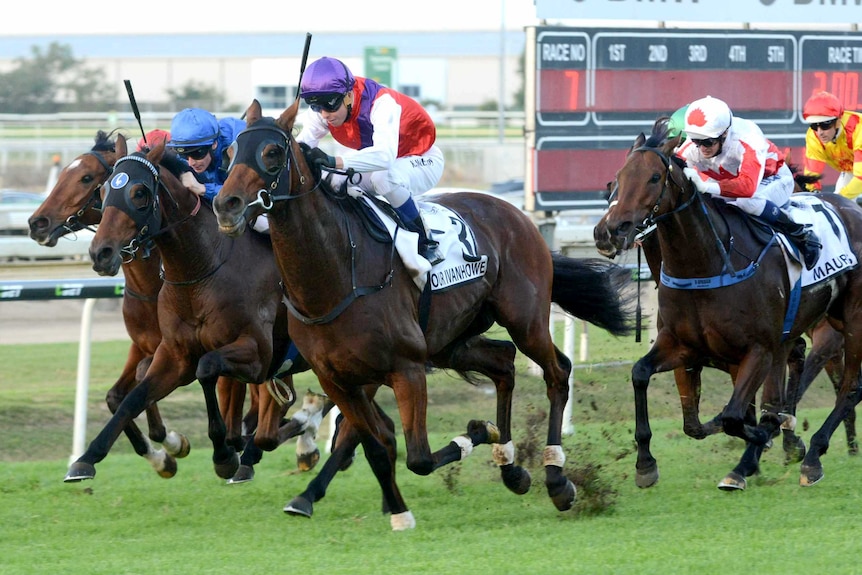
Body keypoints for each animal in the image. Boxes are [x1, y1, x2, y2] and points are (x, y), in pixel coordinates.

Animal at [213, 100, 636, 532]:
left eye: (272, 153)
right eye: (230, 152)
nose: (225, 205)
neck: (336, 274)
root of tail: (518, 216)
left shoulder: (407, 368)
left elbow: (416, 456)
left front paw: (473, 434)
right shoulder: (338, 380)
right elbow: (376, 446)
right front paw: (400, 510)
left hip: (525, 321)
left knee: (557, 373)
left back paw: (556, 478)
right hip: (450, 341)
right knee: (503, 363)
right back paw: (511, 466)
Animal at [604, 121, 862, 490]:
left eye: (654, 178)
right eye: (617, 179)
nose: (612, 229)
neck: (705, 266)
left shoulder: (760, 349)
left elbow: (737, 415)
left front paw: (765, 443)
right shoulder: (684, 346)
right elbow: (644, 377)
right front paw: (645, 464)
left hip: (853, 322)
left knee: (849, 388)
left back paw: (812, 456)